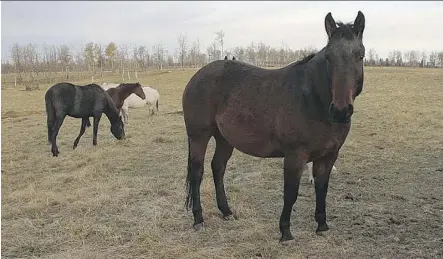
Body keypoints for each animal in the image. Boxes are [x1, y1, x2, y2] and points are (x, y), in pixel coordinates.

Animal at [182, 11, 366, 245]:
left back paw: (226, 211)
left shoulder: (329, 156)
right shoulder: (295, 156)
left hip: (225, 139)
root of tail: (197, 76)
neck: (313, 100)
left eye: (360, 55)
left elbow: (322, 188)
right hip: (199, 136)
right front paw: (285, 232)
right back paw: (198, 219)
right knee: (197, 172)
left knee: (218, 167)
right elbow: (291, 192)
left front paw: (322, 225)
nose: (341, 110)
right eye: (328, 58)